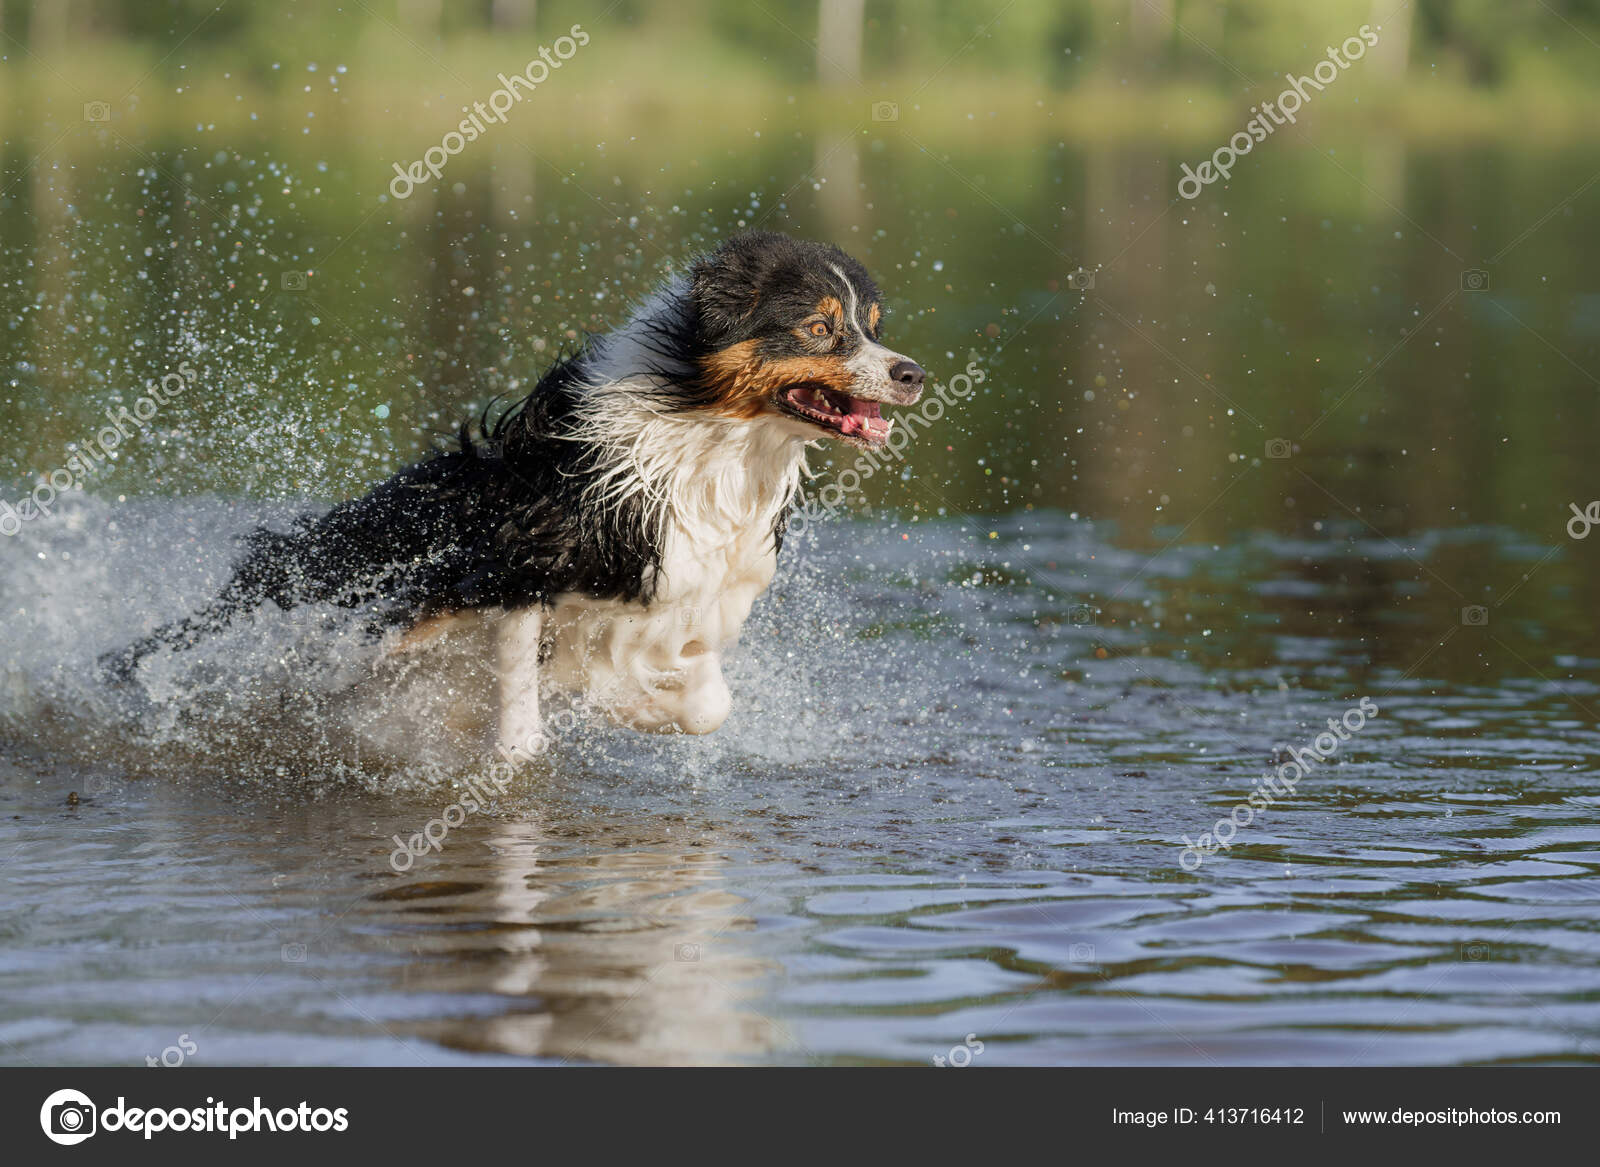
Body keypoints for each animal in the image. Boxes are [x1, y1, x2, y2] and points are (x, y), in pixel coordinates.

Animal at [103, 232, 928, 752]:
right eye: (819, 328)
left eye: (873, 325)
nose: (913, 372)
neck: (709, 444)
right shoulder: (513, 567)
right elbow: (521, 724)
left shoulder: (690, 601)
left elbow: (704, 703)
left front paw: (635, 702)